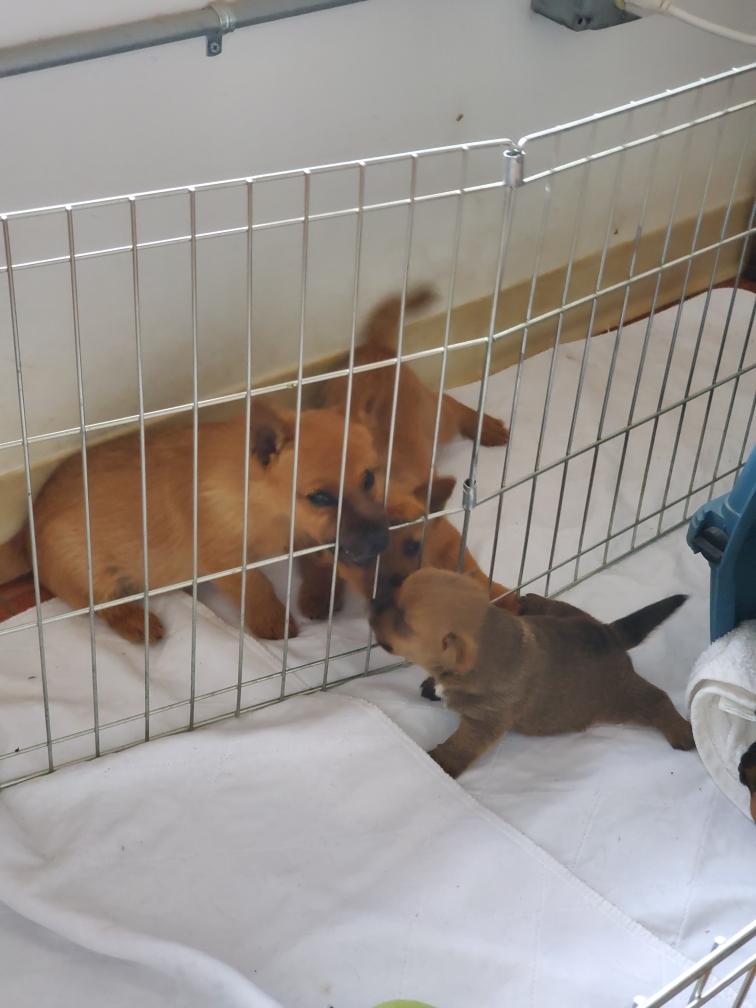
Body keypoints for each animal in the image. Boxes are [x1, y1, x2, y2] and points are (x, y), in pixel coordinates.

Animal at [0, 400, 389, 643]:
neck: (262, 501)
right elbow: (258, 584)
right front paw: (272, 620)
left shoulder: (307, 532)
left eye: (370, 478)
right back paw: (139, 622)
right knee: (106, 605)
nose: (378, 541)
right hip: (85, 567)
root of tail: (25, 531)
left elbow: (320, 560)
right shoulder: (224, 558)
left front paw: (319, 596)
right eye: (319, 497)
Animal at [299, 288, 518, 616]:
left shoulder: (449, 543)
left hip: (436, 421)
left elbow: (476, 575)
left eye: (413, 546)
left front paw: (505, 598)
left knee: (449, 401)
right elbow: (316, 562)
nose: (397, 589)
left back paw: (485, 426)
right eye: (360, 556)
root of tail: (375, 347)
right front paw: (319, 594)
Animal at [370, 568, 695, 778]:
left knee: (657, 699)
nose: (373, 604)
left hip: (620, 697)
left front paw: (438, 763)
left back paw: (681, 731)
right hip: (570, 616)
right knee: (557, 605)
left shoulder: (484, 723)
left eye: (403, 622)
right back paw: (532, 599)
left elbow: (459, 747)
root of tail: (609, 634)